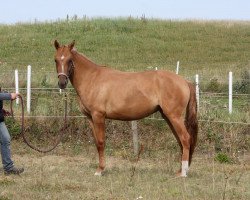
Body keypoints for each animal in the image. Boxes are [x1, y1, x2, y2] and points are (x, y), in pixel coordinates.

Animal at [53, 40, 198, 177]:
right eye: (56, 59)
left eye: (69, 60)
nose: (62, 83)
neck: (92, 78)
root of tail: (184, 81)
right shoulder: (90, 118)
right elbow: (96, 143)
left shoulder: (98, 116)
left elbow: (101, 142)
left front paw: (100, 170)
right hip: (168, 116)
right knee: (180, 140)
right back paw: (180, 171)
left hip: (174, 116)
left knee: (185, 138)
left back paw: (183, 173)